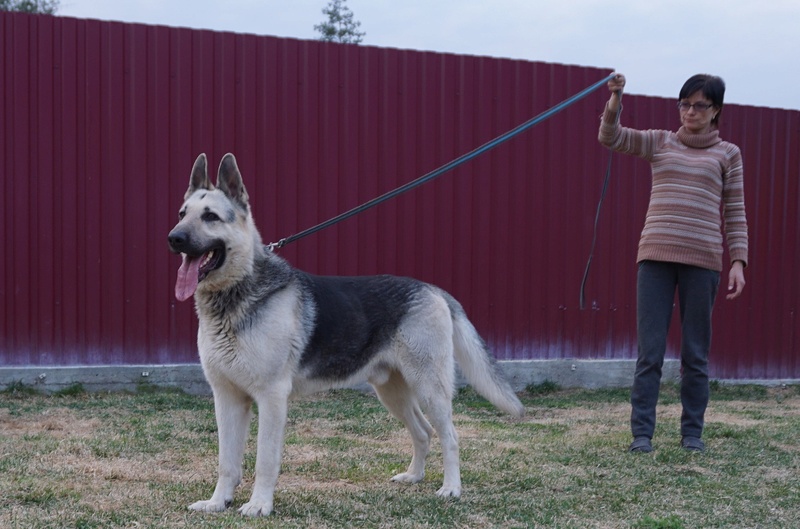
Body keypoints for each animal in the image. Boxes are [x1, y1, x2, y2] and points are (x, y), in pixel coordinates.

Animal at [167, 153, 524, 516]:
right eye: (182, 214)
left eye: (210, 216)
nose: (173, 238)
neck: (236, 295)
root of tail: (433, 290)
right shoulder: (226, 399)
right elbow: (226, 461)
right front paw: (218, 501)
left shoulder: (271, 398)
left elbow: (265, 460)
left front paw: (259, 504)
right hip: (392, 393)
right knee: (423, 432)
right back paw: (414, 476)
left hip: (430, 389)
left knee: (449, 436)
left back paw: (451, 488)